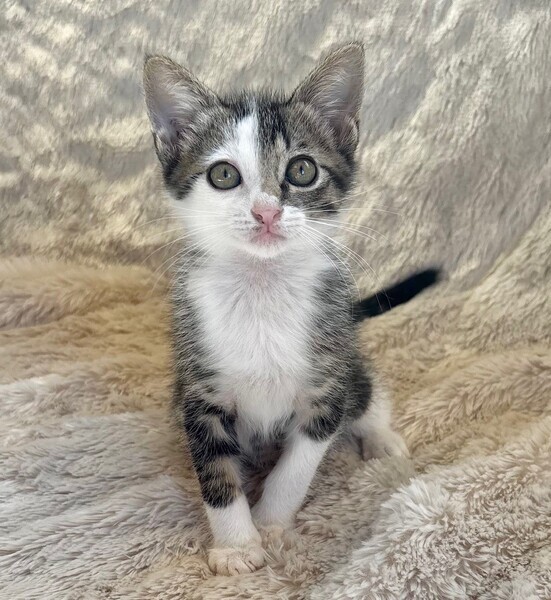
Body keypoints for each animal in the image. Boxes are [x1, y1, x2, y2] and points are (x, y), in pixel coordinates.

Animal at [143, 43, 433, 576]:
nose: (266, 212)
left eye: (302, 170)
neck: (263, 287)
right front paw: (237, 545)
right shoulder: (199, 391)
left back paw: (380, 437)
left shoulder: (327, 386)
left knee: (368, 392)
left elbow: (296, 468)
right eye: (223, 175)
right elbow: (215, 474)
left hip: (349, 361)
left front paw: (272, 524)